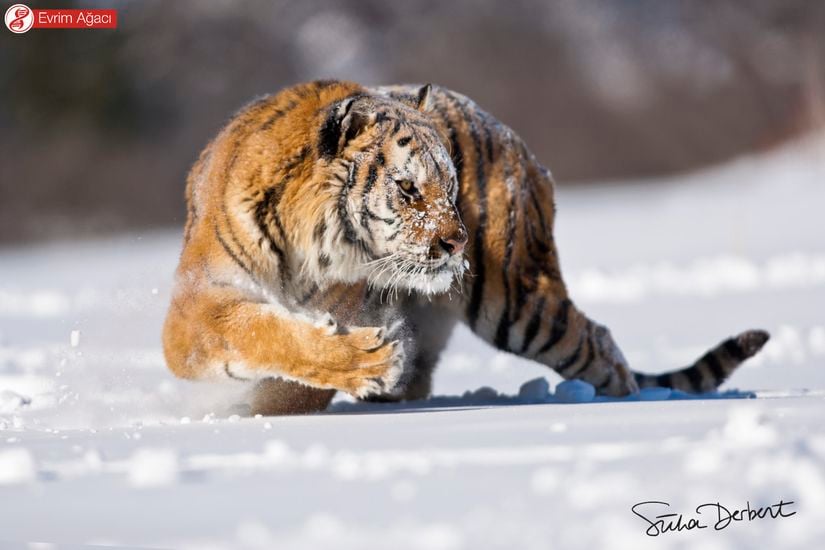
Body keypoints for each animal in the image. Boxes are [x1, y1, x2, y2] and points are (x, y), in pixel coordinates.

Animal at [164, 80, 768, 416]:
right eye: (409, 188)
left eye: (450, 187)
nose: (458, 243)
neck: (303, 247)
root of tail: (517, 141)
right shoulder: (195, 308)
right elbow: (258, 332)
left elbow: (288, 379)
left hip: (519, 305)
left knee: (600, 344)